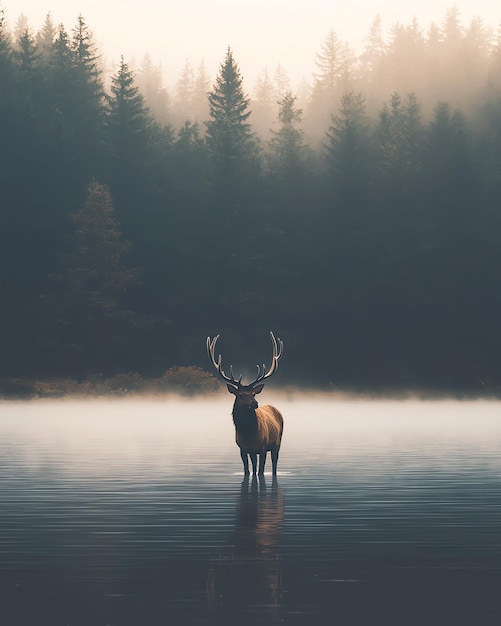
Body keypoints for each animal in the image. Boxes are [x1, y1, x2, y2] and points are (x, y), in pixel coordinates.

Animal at [206, 332, 284, 472]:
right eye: (241, 395)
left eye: (253, 394)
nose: (255, 404)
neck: (248, 434)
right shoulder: (243, 449)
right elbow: (248, 471)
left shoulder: (262, 448)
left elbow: (260, 471)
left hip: (277, 443)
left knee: (274, 463)